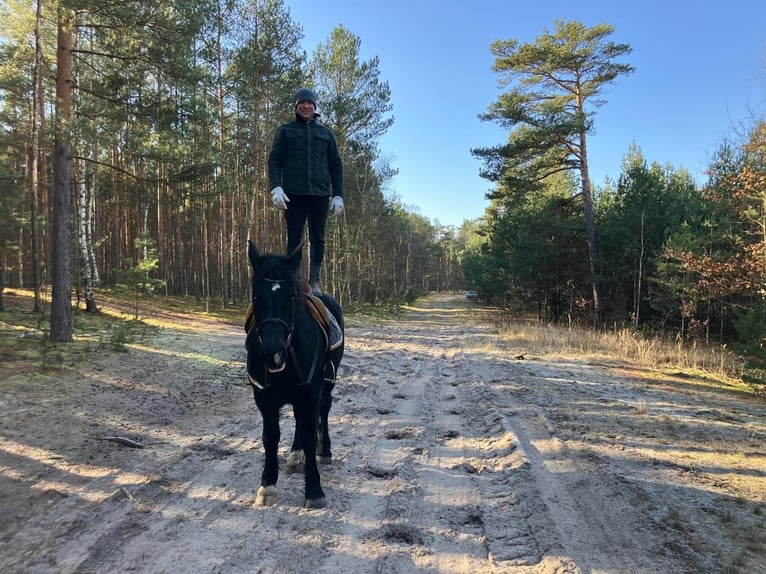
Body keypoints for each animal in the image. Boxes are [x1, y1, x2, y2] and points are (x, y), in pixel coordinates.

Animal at [246, 241, 344, 510]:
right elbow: (270, 437)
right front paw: (267, 486)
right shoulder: (264, 399)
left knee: (324, 410)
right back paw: (295, 454)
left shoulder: (309, 393)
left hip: (326, 384)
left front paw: (314, 490)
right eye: (255, 296)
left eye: (291, 295)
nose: (273, 352)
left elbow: (310, 434)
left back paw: (324, 451)